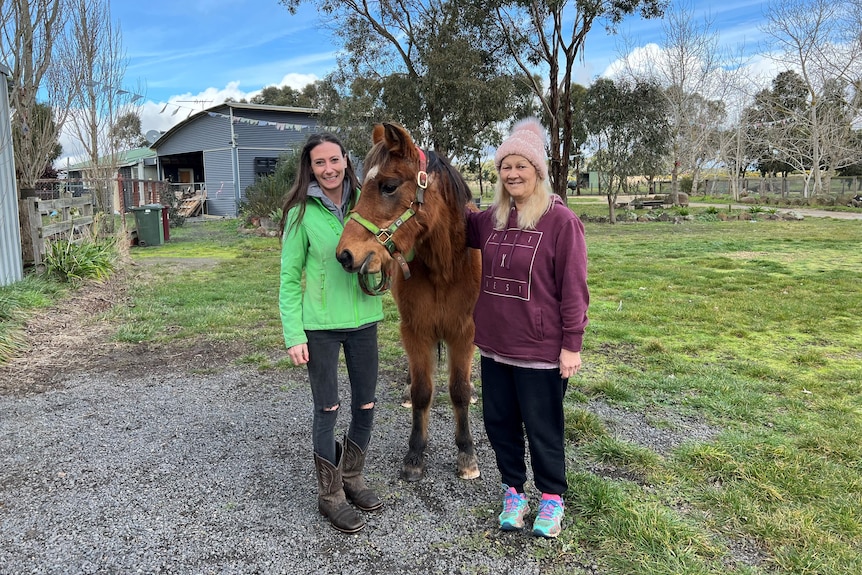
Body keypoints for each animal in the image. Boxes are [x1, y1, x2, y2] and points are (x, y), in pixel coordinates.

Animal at [338, 124, 486, 484]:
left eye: (389, 186)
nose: (345, 254)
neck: (445, 267)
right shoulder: (416, 330)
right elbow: (422, 391)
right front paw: (415, 453)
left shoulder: (464, 333)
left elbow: (458, 391)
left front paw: (466, 452)